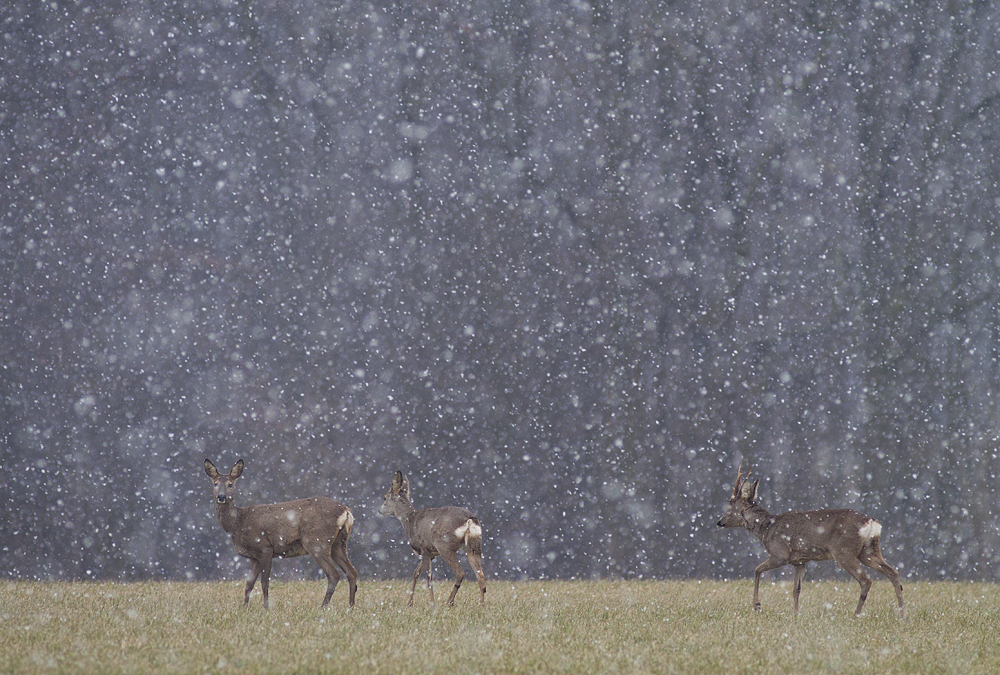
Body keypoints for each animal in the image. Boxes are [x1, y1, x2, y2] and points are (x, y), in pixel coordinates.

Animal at [204, 462, 360, 608]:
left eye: (230, 484)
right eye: (215, 483)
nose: (221, 496)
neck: (238, 524)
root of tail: (346, 511)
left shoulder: (264, 548)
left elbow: (264, 582)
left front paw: (266, 608)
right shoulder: (253, 557)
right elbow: (249, 584)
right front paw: (244, 608)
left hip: (316, 541)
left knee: (334, 574)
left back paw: (323, 607)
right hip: (338, 543)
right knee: (351, 571)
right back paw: (351, 606)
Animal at [376, 470, 486, 608]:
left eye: (384, 497)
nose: (379, 511)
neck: (409, 520)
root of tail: (470, 519)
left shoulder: (424, 548)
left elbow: (429, 578)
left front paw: (432, 603)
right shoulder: (432, 553)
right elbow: (416, 573)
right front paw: (409, 603)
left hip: (444, 545)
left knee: (460, 572)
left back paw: (449, 601)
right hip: (474, 544)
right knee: (480, 574)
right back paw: (481, 604)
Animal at [720, 464, 908, 616]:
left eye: (730, 503)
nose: (719, 522)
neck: (766, 528)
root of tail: (872, 522)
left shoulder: (780, 554)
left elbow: (757, 570)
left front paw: (757, 606)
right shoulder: (800, 561)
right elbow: (796, 589)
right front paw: (796, 614)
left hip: (844, 551)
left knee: (866, 580)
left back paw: (856, 614)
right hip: (869, 550)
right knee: (893, 573)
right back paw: (901, 614)